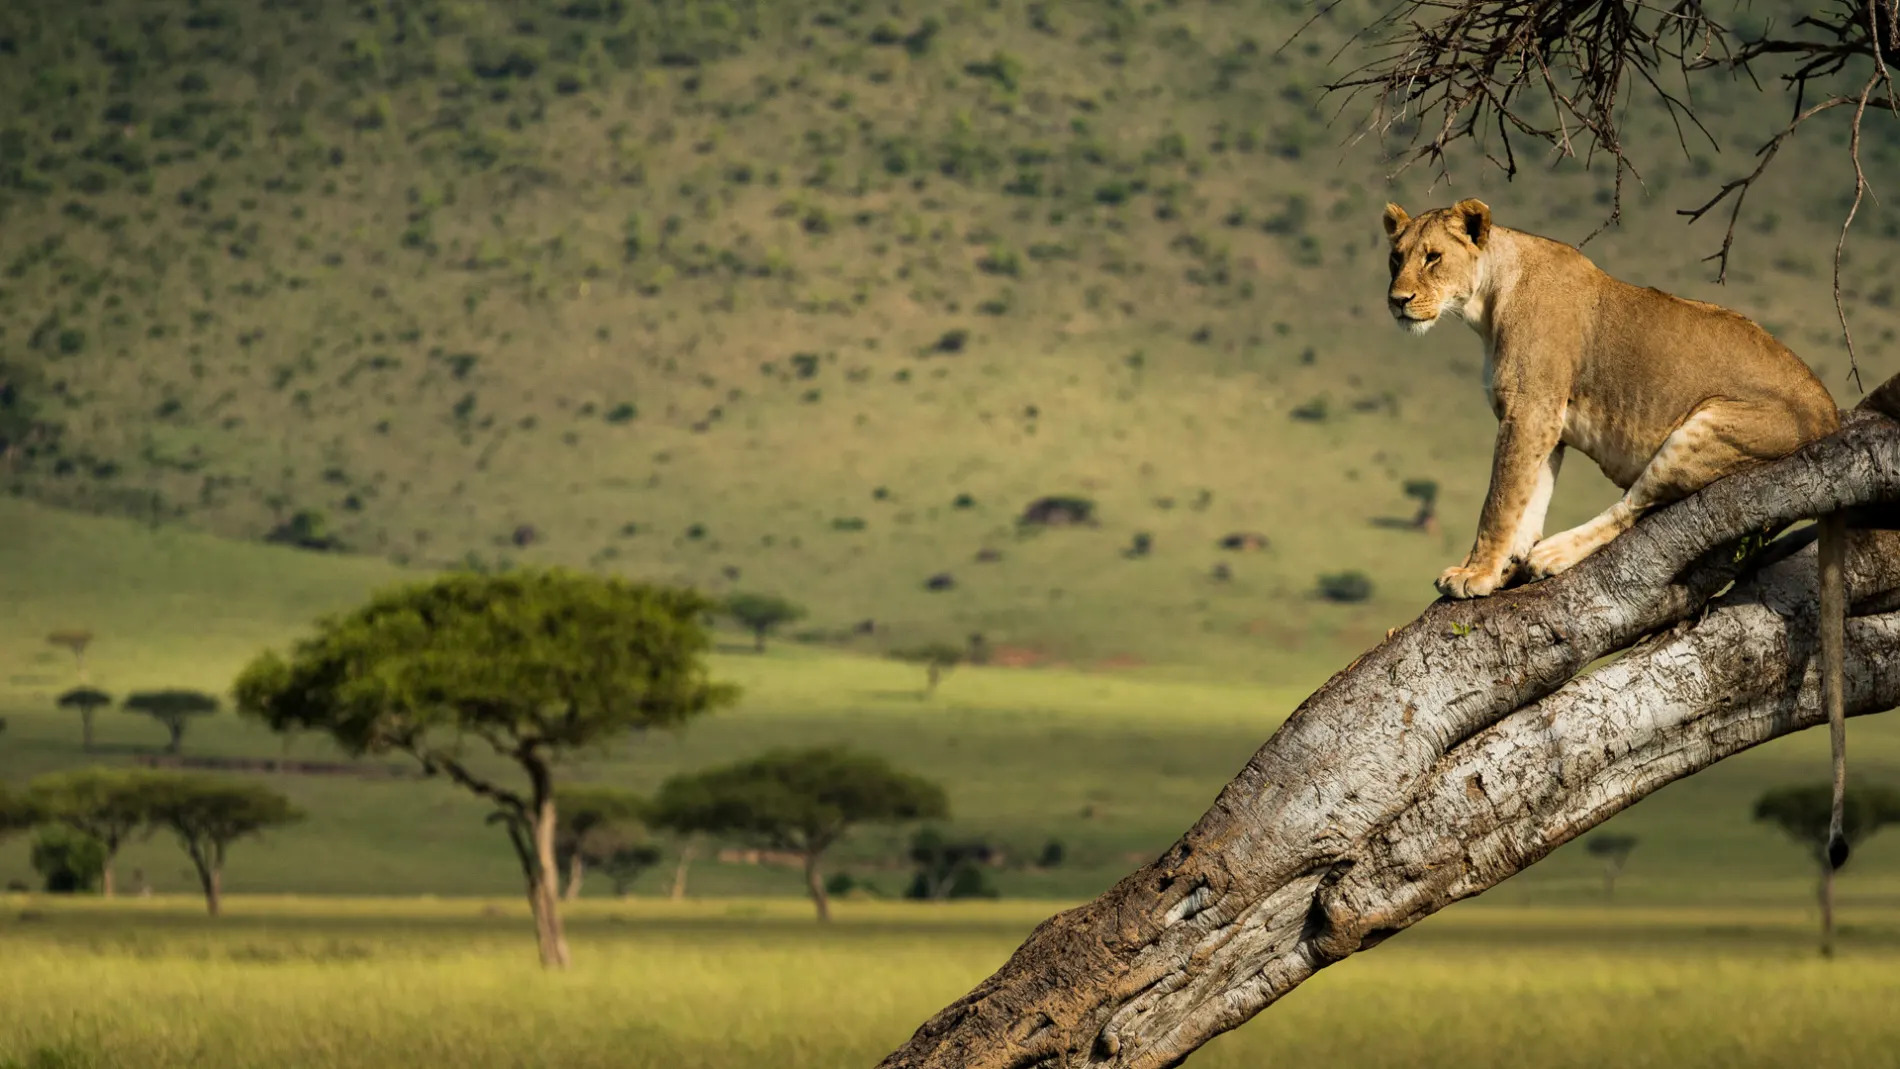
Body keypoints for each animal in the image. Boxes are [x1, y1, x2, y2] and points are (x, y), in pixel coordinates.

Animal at [1381, 197, 1851, 868]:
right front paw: (1503, 568)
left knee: (1639, 504)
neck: (1488, 296)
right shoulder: (1544, 423)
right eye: (1395, 256)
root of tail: (1833, 413)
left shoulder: (1530, 410)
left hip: (1706, 426)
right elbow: (1527, 499)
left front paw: (1475, 574)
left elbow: (1500, 500)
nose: (1397, 299)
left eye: (1433, 257)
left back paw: (1554, 555)